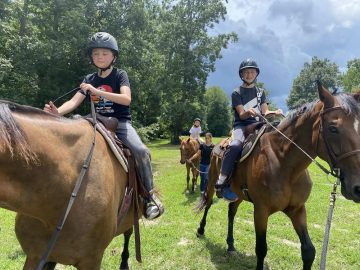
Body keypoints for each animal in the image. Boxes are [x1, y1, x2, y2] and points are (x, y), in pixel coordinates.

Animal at [195, 84, 360, 270]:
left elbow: (309, 251)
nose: (358, 188)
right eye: (333, 128)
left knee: (231, 211)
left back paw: (230, 245)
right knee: (208, 203)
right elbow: (261, 249)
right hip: (211, 182)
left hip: (238, 193)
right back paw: (201, 230)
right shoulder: (261, 211)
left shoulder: (297, 209)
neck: (284, 163)